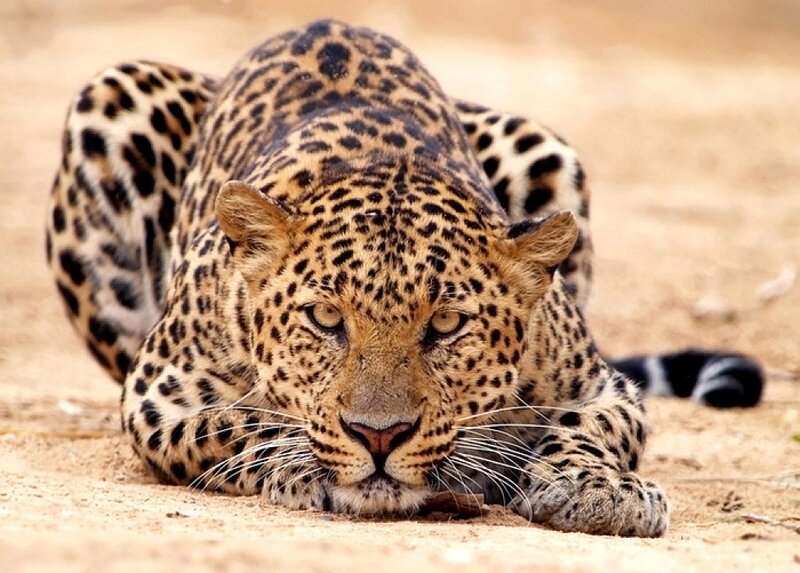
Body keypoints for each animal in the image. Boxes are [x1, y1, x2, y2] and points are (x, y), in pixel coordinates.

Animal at [45, 20, 764, 537]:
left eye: (445, 325)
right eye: (325, 319)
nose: (380, 436)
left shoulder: (601, 386)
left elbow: (592, 432)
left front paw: (599, 489)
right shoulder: (157, 394)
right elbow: (240, 423)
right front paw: (304, 462)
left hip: (543, 146)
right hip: (113, 98)